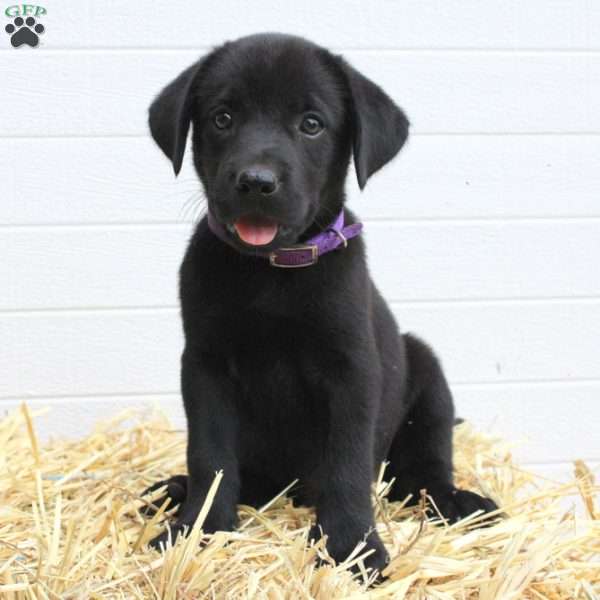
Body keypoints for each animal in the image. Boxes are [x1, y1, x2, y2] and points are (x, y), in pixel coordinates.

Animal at [145, 34, 496, 576]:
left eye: (311, 124)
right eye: (223, 118)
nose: (257, 182)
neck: (270, 271)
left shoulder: (350, 370)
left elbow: (347, 464)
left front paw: (352, 545)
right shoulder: (204, 366)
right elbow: (210, 456)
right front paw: (199, 529)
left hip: (428, 375)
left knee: (424, 471)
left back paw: (458, 500)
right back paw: (175, 491)